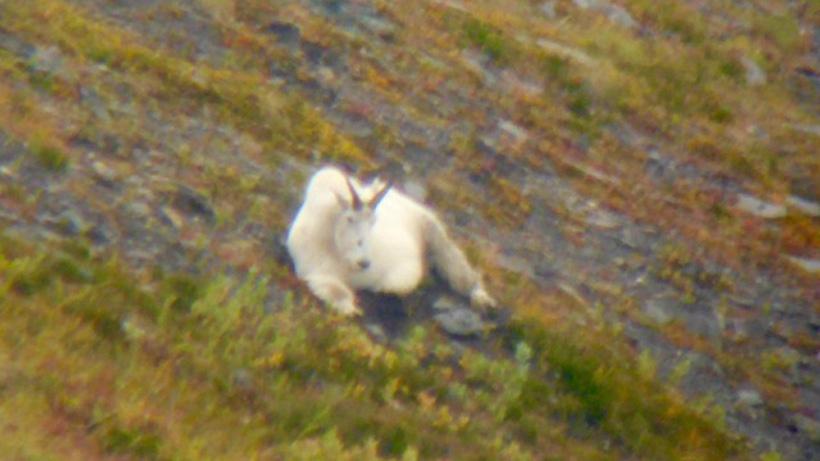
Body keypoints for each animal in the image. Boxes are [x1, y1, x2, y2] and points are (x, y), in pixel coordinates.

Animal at [286, 166, 496, 316]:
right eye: (350, 218)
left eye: (374, 221)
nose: (364, 262)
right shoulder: (315, 271)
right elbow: (336, 293)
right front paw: (352, 309)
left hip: (431, 228)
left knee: (456, 265)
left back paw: (482, 299)